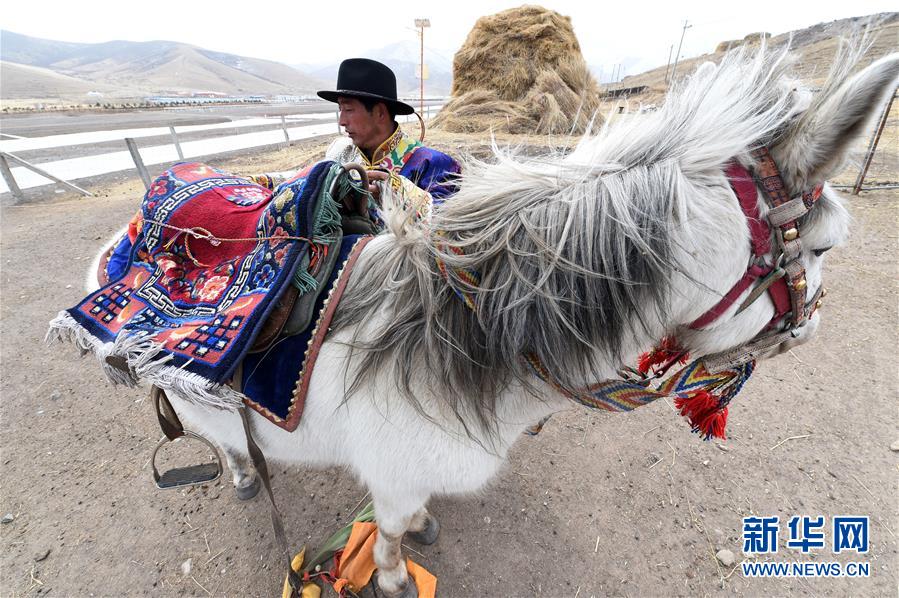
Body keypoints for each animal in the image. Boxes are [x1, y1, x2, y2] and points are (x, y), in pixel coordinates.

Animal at [81, 44, 896, 596]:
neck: (457, 335)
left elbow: (408, 519)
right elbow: (388, 540)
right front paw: (395, 577)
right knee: (222, 439)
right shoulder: (394, 474)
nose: (809, 329)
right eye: (824, 246)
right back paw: (245, 474)